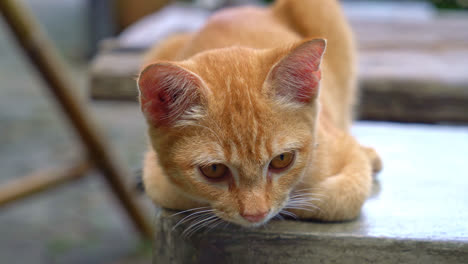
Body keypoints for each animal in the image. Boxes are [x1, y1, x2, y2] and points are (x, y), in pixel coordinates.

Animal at [137, 0, 382, 228]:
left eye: (282, 159)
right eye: (214, 170)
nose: (256, 214)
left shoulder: (344, 153)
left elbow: (336, 197)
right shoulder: (158, 180)